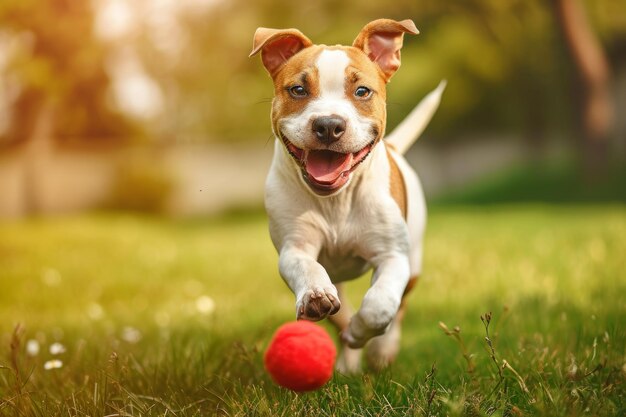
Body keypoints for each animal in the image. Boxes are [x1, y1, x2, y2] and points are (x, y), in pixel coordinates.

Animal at [249, 17, 444, 372]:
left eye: (362, 91)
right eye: (298, 89)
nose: (328, 125)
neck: (336, 201)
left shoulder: (393, 256)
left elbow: (381, 305)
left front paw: (367, 337)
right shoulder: (294, 247)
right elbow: (308, 270)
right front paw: (315, 296)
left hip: (414, 262)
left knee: (399, 308)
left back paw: (381, 350)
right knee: (340, 312)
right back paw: (348, 363)